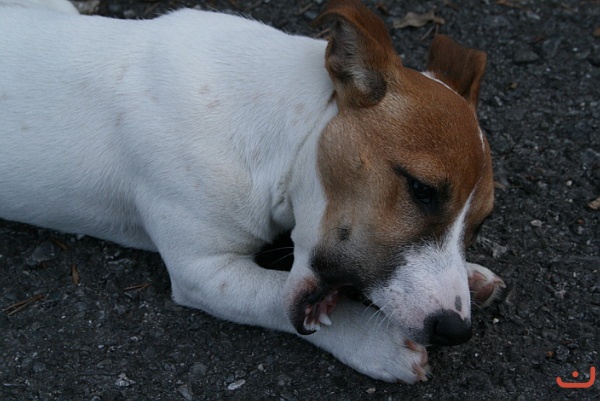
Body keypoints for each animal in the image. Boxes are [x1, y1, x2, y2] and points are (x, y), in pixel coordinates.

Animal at [0, 0, 505, 383]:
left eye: (480, 225)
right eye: (421, 190)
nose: (455, 331)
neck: (278, 129)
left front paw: (472, 274)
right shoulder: (205, 271)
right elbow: (277, 298)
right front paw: (374, 342)